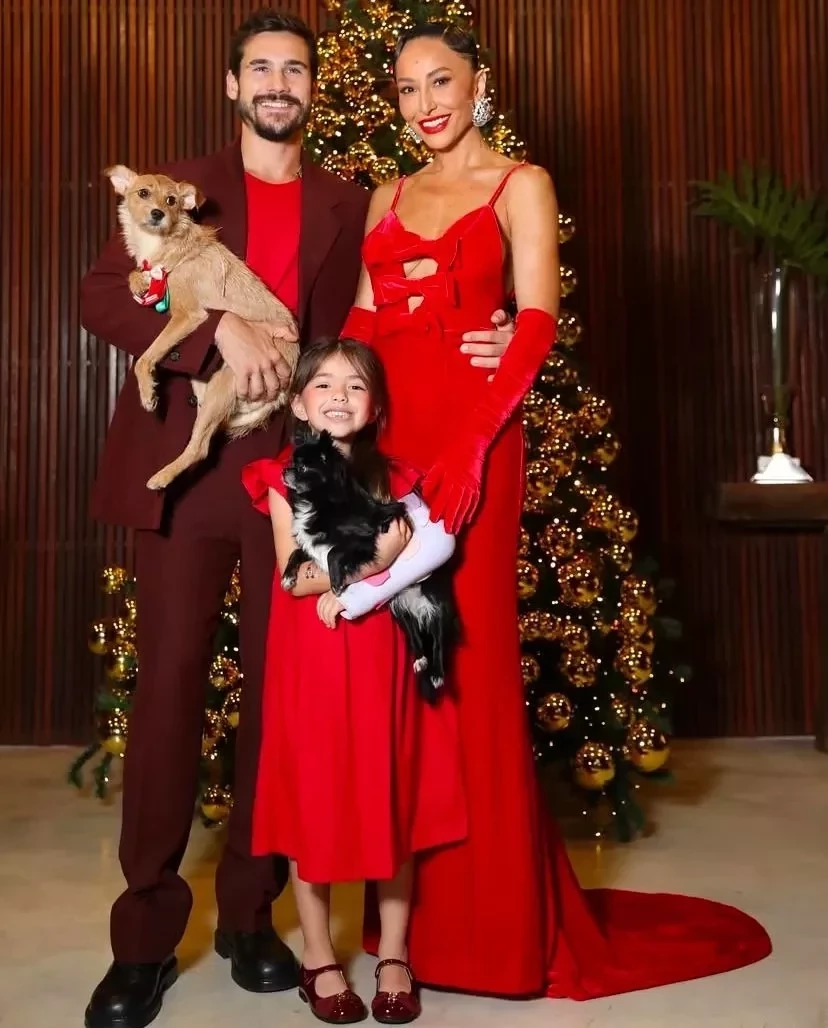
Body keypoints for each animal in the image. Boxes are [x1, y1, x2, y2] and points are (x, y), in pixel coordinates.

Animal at [105, 164, 301, 491]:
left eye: (171, 200)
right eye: (143, 193)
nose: (157, 213)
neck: (164, 243)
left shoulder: (187, 316)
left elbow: (146, 357)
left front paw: (147, 393)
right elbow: (136, 274)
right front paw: (138, 282)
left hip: (227, 381)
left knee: (200, 447)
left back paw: (162, 476)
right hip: (204, 388)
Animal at [280, 431, 458, 702]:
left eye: (301, 467)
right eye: (291, 462)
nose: (284, 470)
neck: (319, 501)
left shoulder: (364, 540)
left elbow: (333, 553)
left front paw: (336, 584)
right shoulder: (311, 543)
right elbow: (295, 553)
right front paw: (289, 577)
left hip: (436, 603)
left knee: (438, 640)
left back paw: (437, 673)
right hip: (400, 611)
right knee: (415, 636)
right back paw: (420, 661)